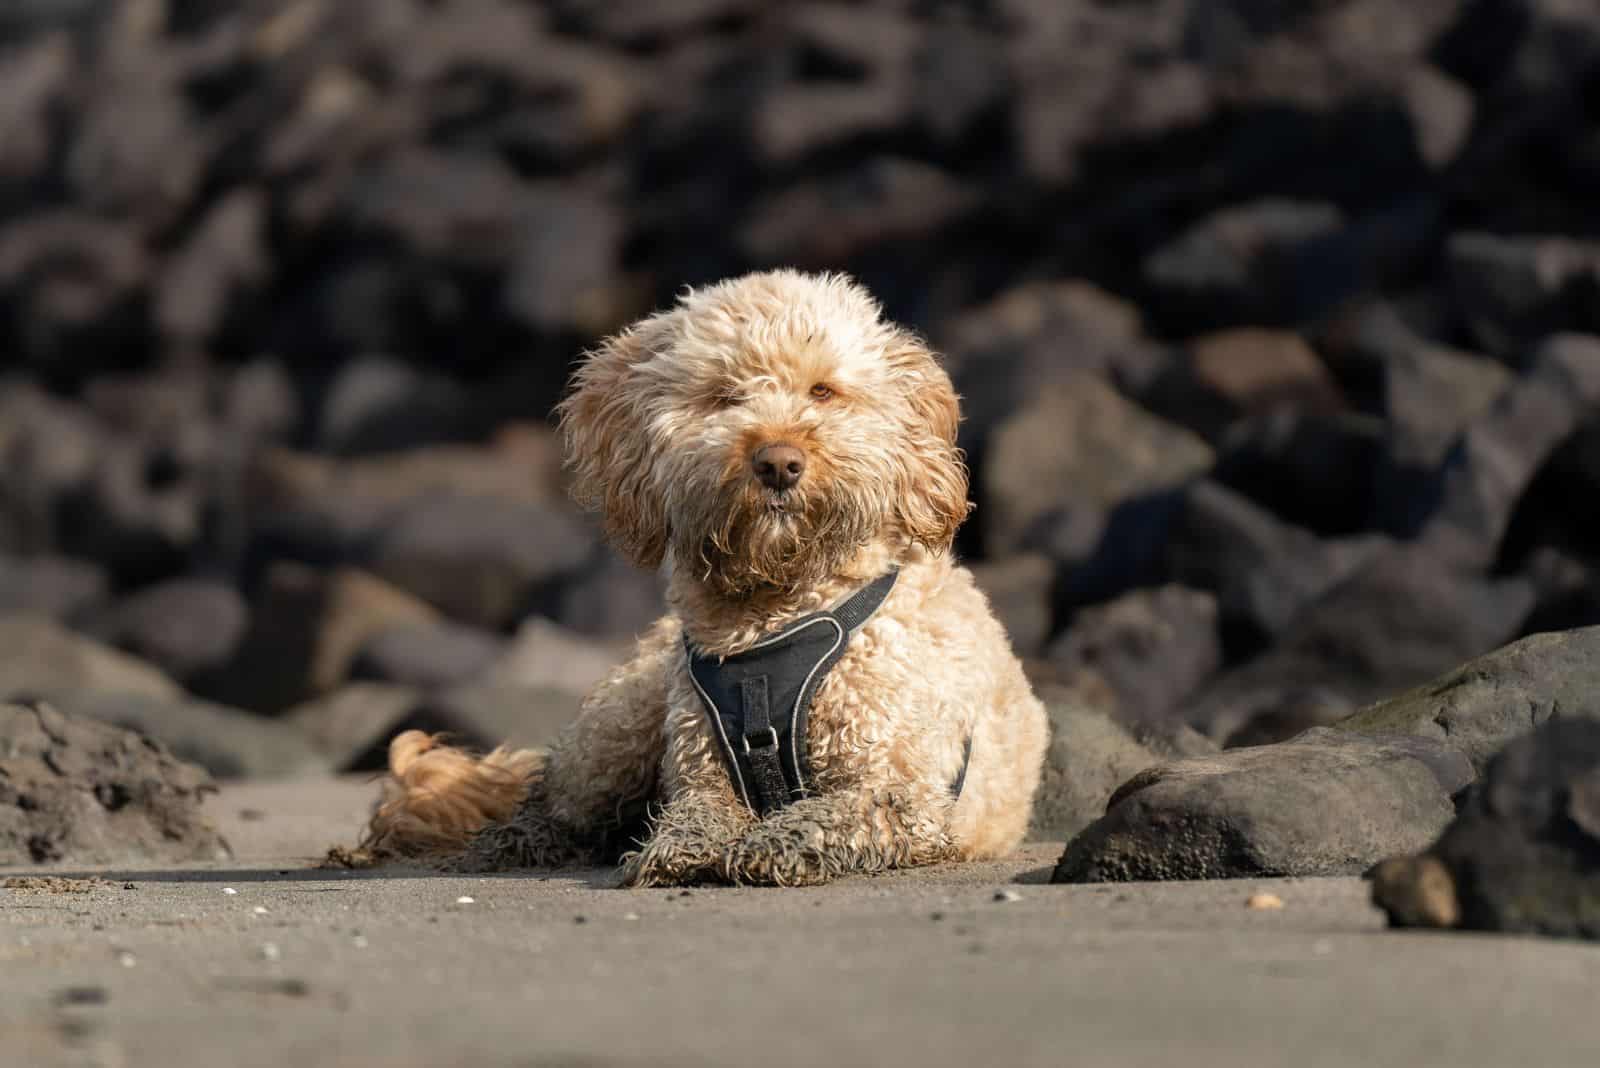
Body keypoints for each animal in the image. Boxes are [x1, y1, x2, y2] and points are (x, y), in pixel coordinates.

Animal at [344, 268, 1049, 882]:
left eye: (823, 391)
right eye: (723, 395)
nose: (778, 463)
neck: (779, 616)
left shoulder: (902, 791)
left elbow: (834, 813)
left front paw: (775, 843)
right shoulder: (700, 762)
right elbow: (697, 811)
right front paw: (687, 846)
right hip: (621, 724)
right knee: (553, 802)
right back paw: (513, 838)